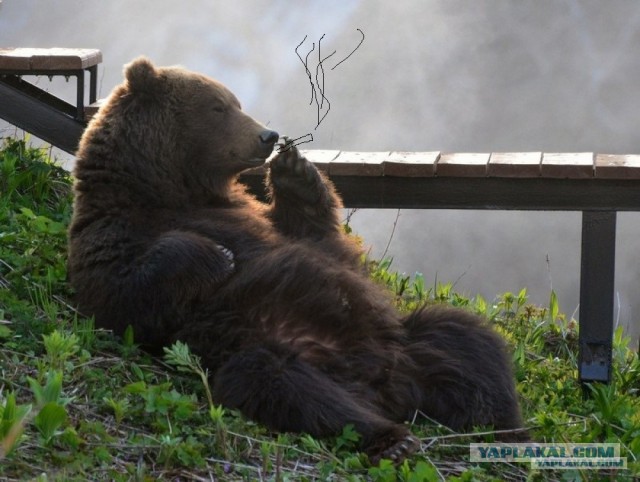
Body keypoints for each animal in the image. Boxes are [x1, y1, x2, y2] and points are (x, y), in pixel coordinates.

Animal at [67, 56, 528, 464]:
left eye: (235, 101)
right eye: (218, 106)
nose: (267, 135)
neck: (170, 187)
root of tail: (384, 385)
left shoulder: (260, 220)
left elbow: (318, 239)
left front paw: (296, 171)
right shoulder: (110, 232)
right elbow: (123, 297)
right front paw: (217, 255)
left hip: (407, 342)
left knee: (466, 339)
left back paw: (507, 427)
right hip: (269, 347)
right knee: (285, 386)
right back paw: (392, 439)